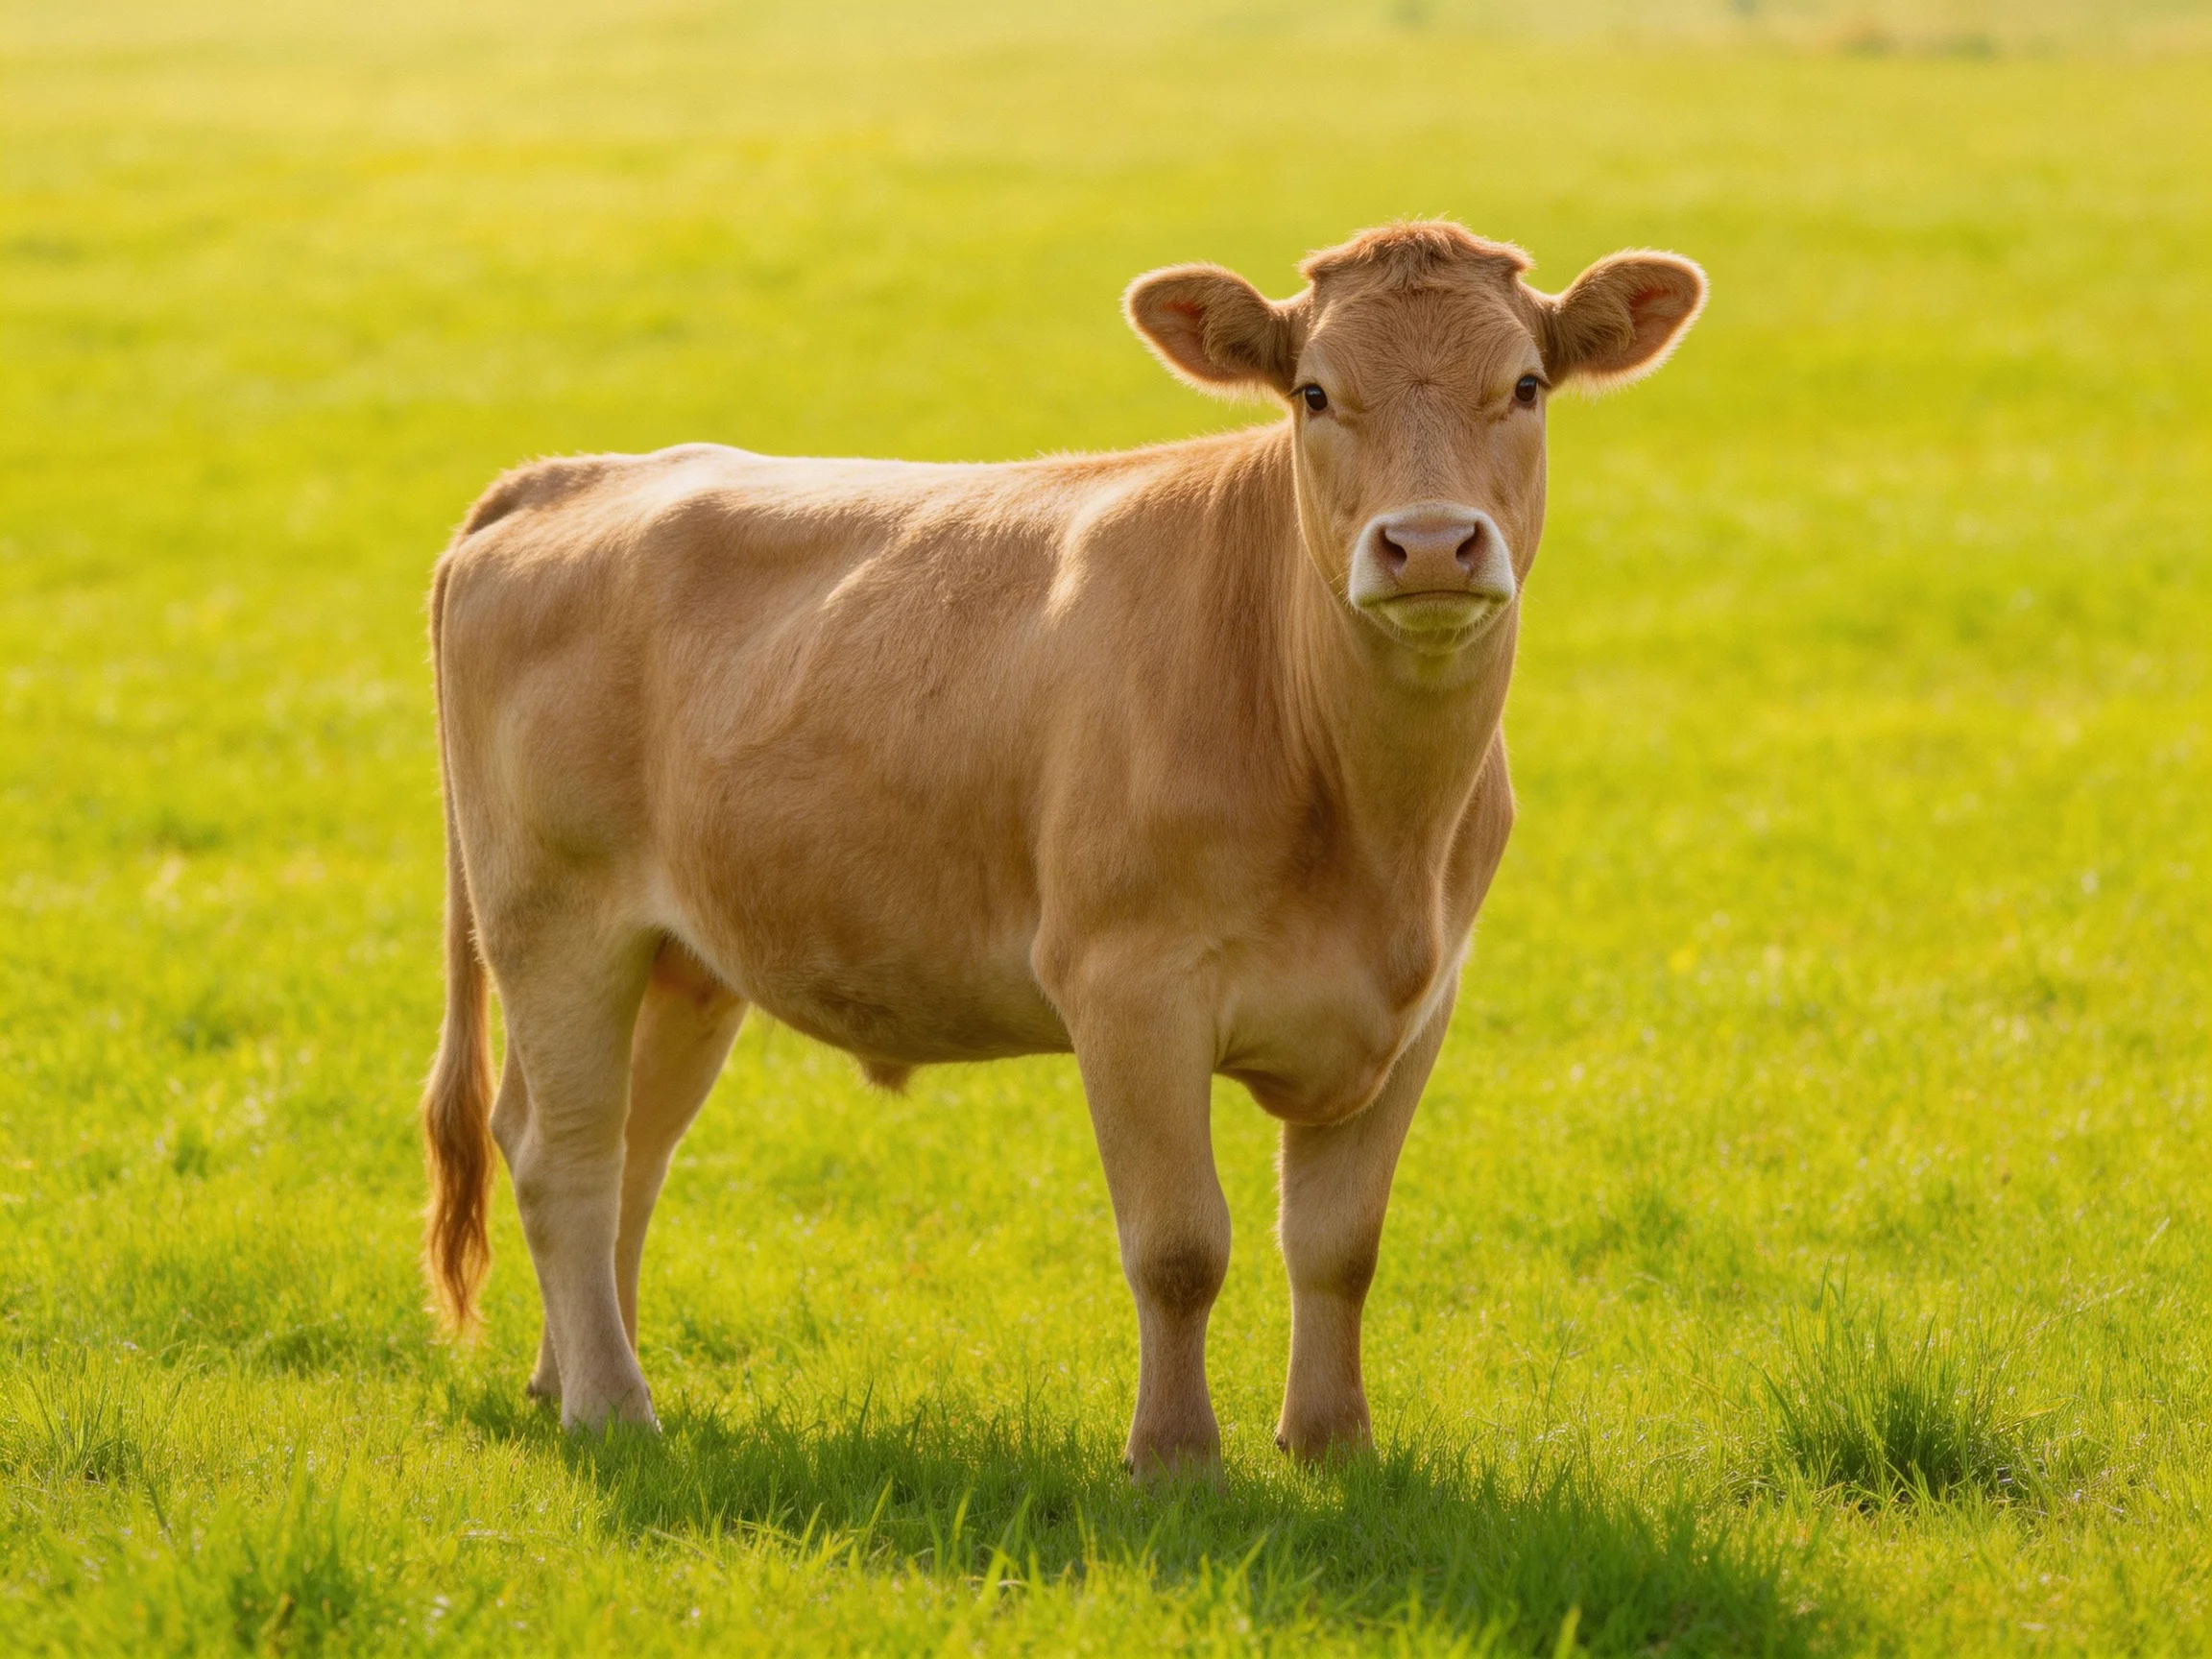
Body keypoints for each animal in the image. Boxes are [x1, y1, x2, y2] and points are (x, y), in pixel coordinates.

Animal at [419, 220, 1705, 1475]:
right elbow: (1180, 1246)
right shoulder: (1127, 986)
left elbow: (1340, 1245)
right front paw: (1176, 1461)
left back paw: (568, 1378)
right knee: (566, 1158)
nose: (1430, 545)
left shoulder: (1417, 1002)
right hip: (558, 920)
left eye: (1526, 385)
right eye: (1315, 393)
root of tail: (574, 475)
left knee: (621, 1151)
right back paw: (612, 1409)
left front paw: (1335, 1448)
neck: (1372, 822)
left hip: (684, 960)